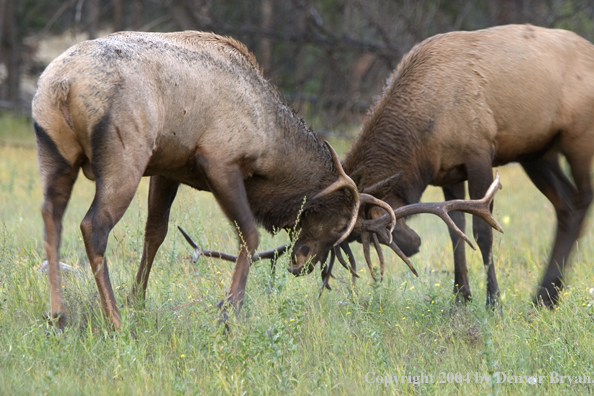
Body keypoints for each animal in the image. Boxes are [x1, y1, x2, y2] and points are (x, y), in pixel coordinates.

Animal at [340, 24, 592, 308]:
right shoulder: (449, 173)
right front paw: (460, 295)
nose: (414, 245)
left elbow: (482, 231)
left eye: (378, 227)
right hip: (537, 153)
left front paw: (494, 301)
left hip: (578, 139)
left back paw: (547, 293)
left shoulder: (479, 154)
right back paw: (545, 296)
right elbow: (455, 230)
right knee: (566, 205)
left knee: (583, 198)